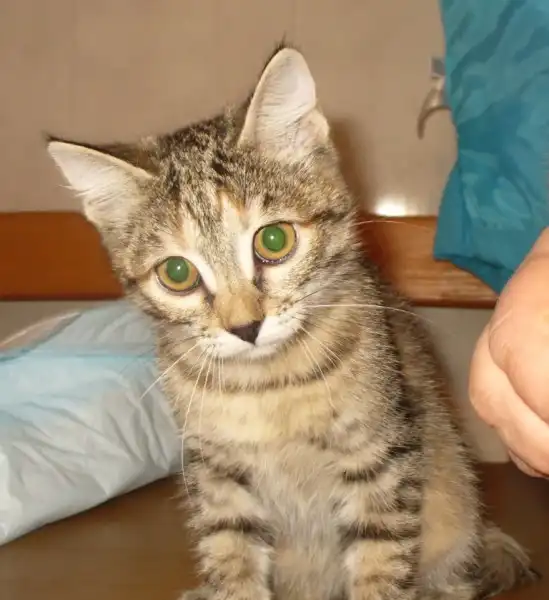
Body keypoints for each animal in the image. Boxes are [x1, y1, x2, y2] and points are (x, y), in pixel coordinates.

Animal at [47, 45, 539, 600]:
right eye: (177, 273)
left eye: (274, 240)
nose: (245, 327)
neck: (268, 387)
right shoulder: (217, 475)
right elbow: (230, 556)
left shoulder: (378, 457)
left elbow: (380, 559)